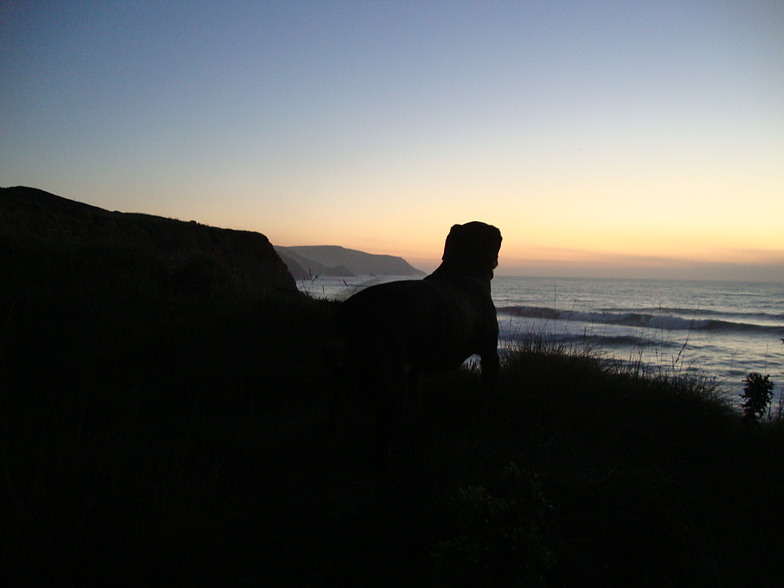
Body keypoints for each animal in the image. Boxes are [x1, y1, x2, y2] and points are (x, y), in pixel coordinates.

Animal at [330, 222, 502, 468]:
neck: (463, 269)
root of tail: (348, 314)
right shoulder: (490, 355)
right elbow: (488, 395)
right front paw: (485, 421)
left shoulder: (416, 365)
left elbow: (417, 396)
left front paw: (418, 419)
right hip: (390, 390)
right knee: (380, 446)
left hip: (342, 383)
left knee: (335, 421)